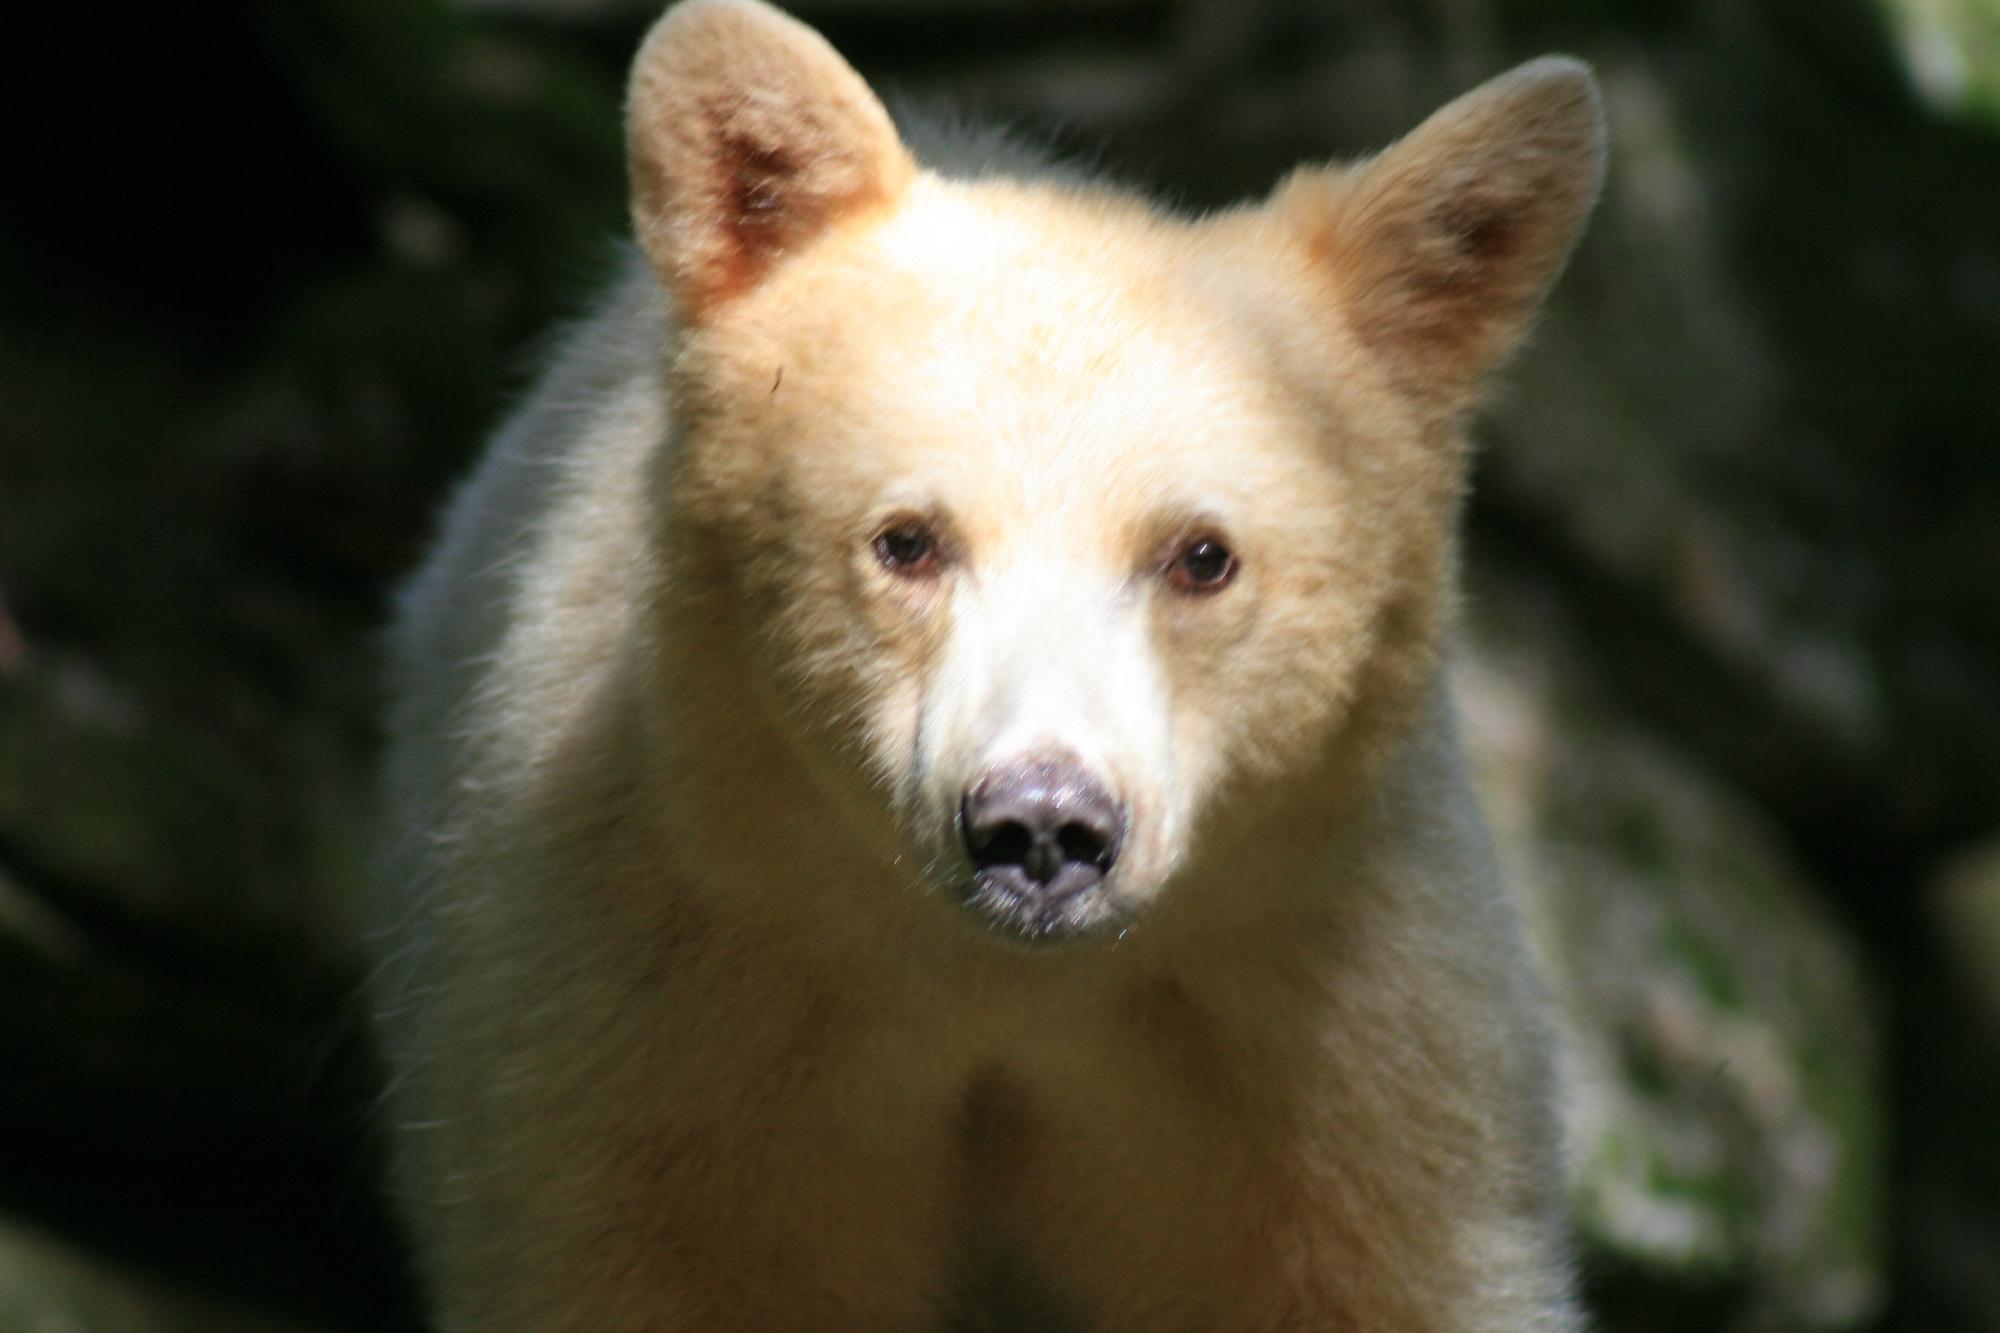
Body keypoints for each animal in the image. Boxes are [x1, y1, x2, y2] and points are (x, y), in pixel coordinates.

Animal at [368, 2, 1600, 1320]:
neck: (996, 984)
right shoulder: (648, 1004)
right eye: (906, 539)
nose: (1043, 824)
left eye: (1200, 555)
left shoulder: (1331, 1043)